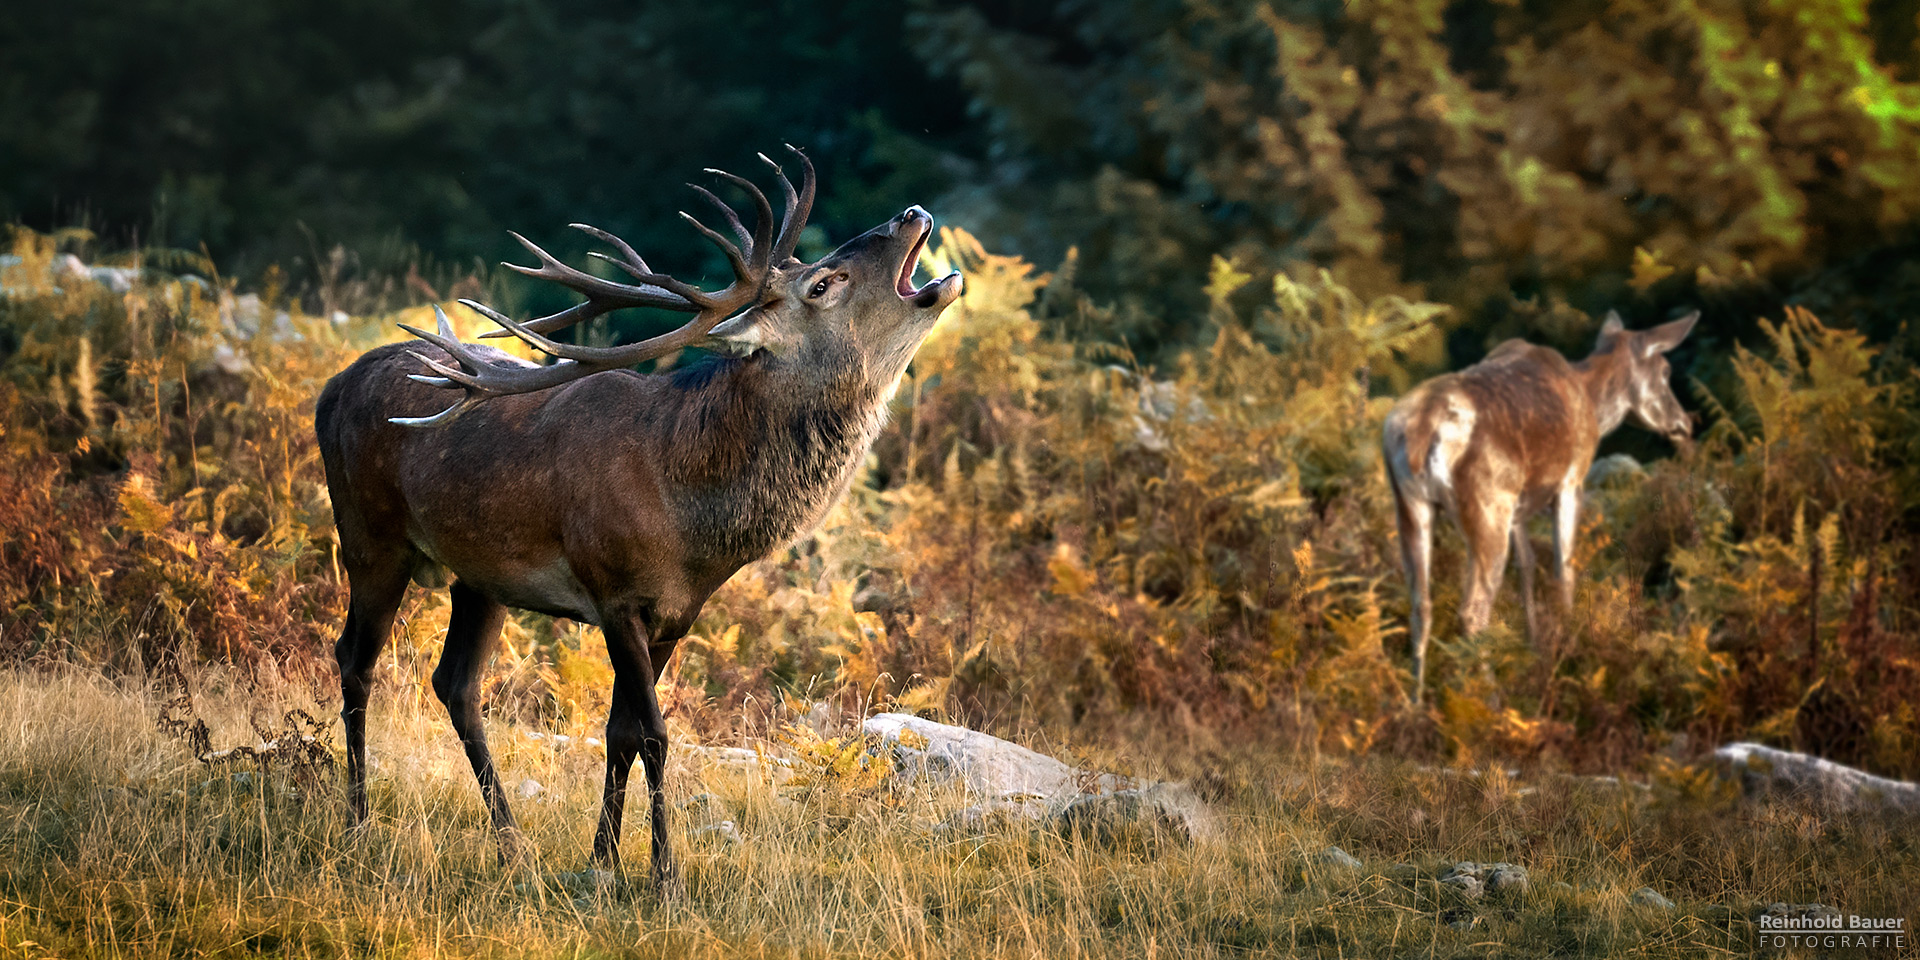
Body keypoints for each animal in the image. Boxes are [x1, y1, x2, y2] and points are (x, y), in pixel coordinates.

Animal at [320, 149, 967, 890]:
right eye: (823, 283)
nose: (910, 212)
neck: (689, 517)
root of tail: (329, 389)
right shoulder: (614, 592)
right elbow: (656, 734)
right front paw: (663, 876)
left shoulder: (675, 614)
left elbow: (621, 732)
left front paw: (601, 861)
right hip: (370, 535)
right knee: (355, 660)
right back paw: (358, 823)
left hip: (478, 577)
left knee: (455, 683)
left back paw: (512, 844)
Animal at [1382, 311, 1697, 702]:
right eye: (1666, 370)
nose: (1684, 424)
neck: (1591, 400)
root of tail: (1421, 431)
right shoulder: (1572, 480)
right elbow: (1564, 569)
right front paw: (1570, 648)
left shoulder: (1520, 507)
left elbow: (1527, 568)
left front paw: (1535, 648)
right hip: (1488, 502)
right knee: (1472, 610)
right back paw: (1490, 697)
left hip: (1411, 505)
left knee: (1420, 604)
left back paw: (1416, 702)